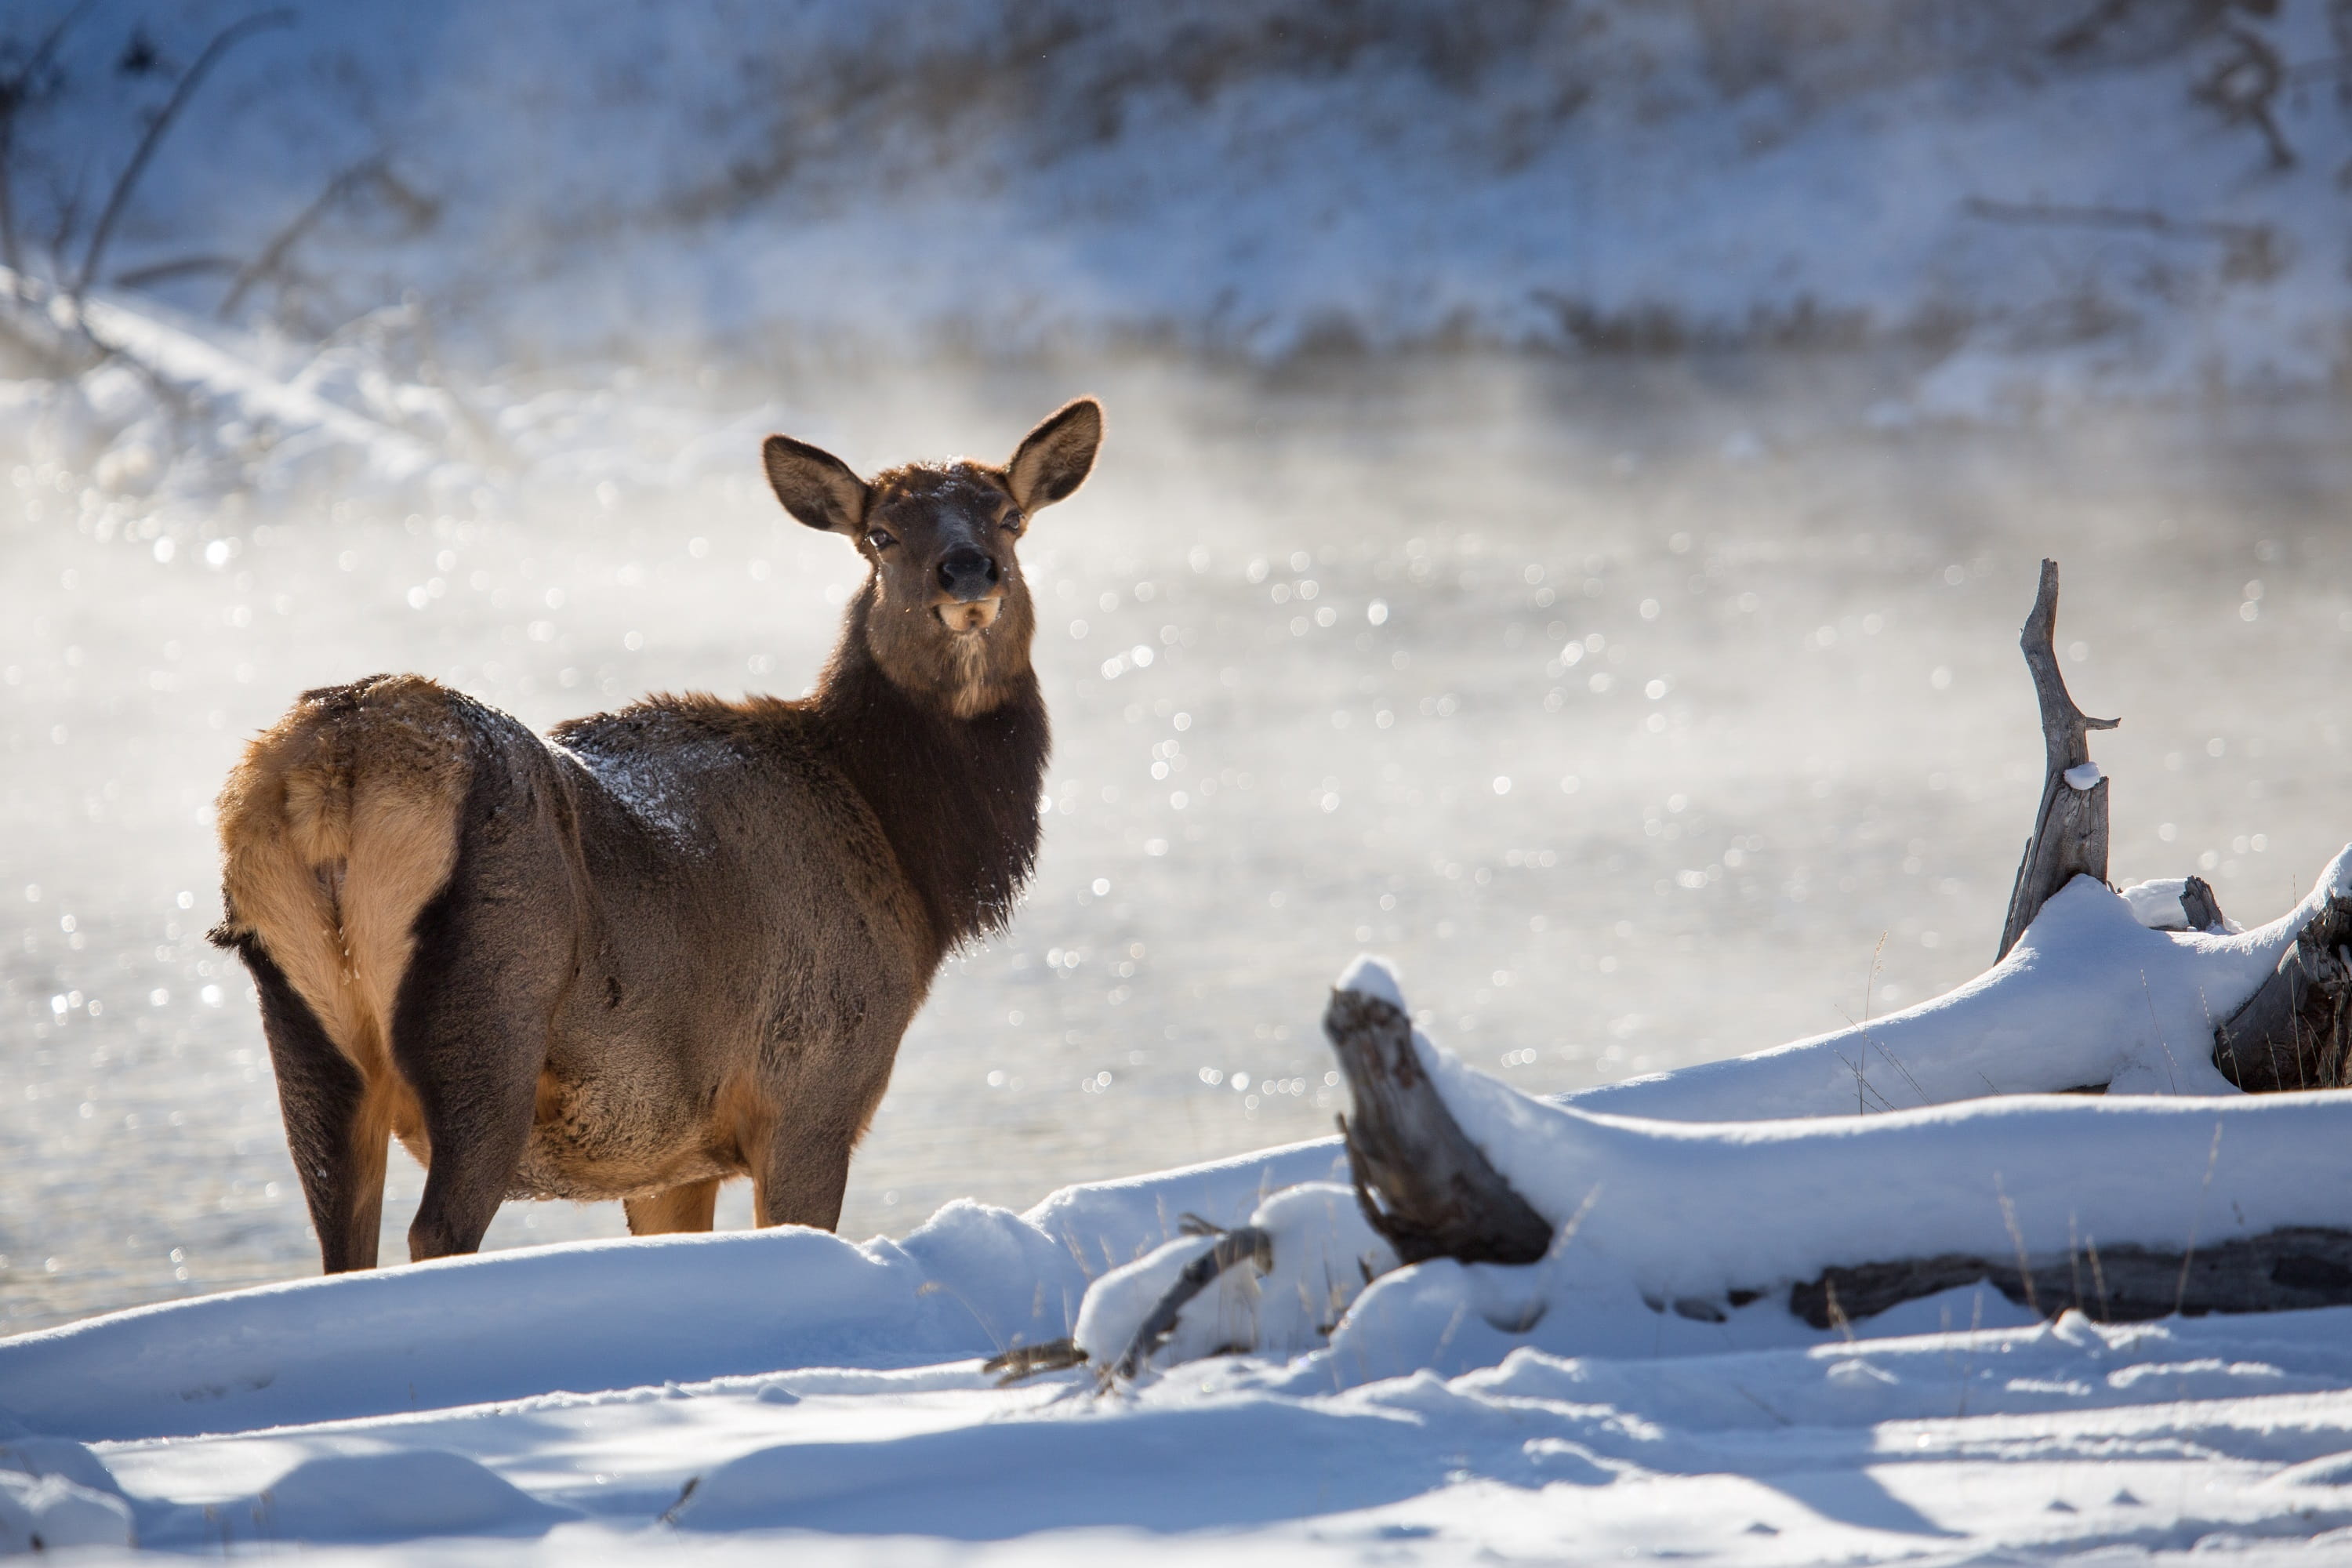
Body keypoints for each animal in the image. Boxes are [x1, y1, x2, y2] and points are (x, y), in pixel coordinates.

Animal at [208, 398, 1103, 1271]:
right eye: (880, 534)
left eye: (1011, 516)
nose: (969, 571)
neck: (910, 858)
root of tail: (334, 771)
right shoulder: (813, 1088)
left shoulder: (671, 1155)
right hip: (491, 1013)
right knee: (437, 1232)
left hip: (308, 1029)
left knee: (341, 1245)